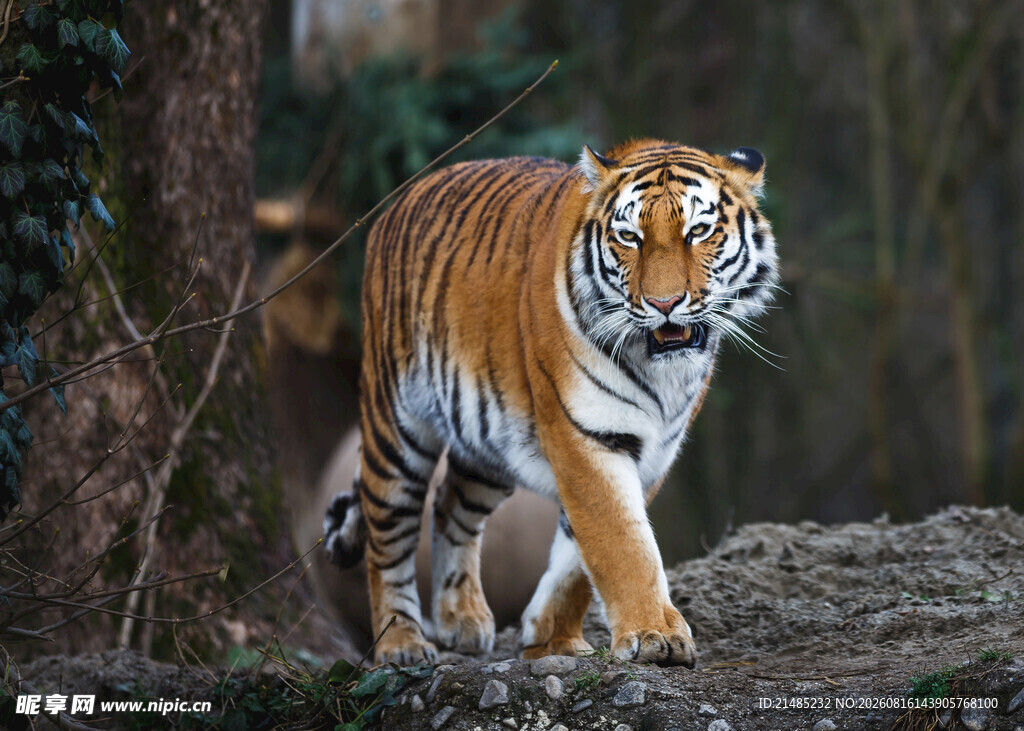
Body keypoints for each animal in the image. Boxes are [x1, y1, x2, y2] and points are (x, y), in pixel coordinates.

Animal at [324, 139, 779, 666]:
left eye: (698, 231)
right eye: (629, 237)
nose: (664, 304)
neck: (663, 372)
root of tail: (403, 196)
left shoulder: (653, 452)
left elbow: (579, 557)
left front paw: (551, 637)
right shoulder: (585, 434)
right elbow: (621, 542)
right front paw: (655, 636)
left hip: (485, 445)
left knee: (449, 505)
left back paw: (461, 620)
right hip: (396, 427)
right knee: (387, 538)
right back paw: (401, 643)